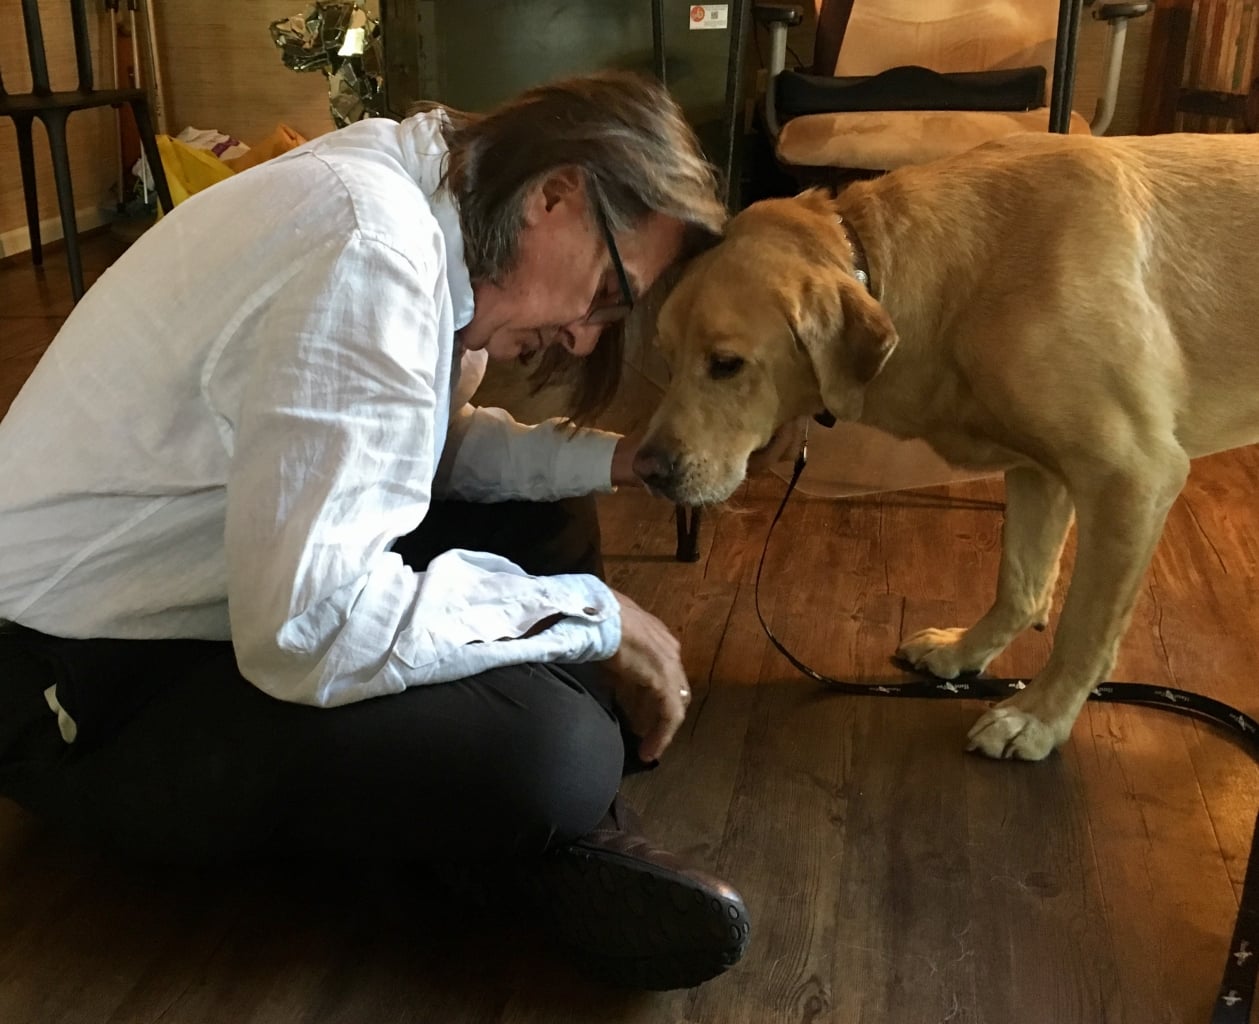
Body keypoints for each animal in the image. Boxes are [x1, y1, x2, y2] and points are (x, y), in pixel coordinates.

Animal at [639, 131, 1259, 760]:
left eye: (726, 364)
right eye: (665, 357)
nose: (646, 470)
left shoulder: (1132, 478)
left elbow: (1084, 628)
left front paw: (1038, 717)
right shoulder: (1040, 471)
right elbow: (1021, 584)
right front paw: (965, 653)